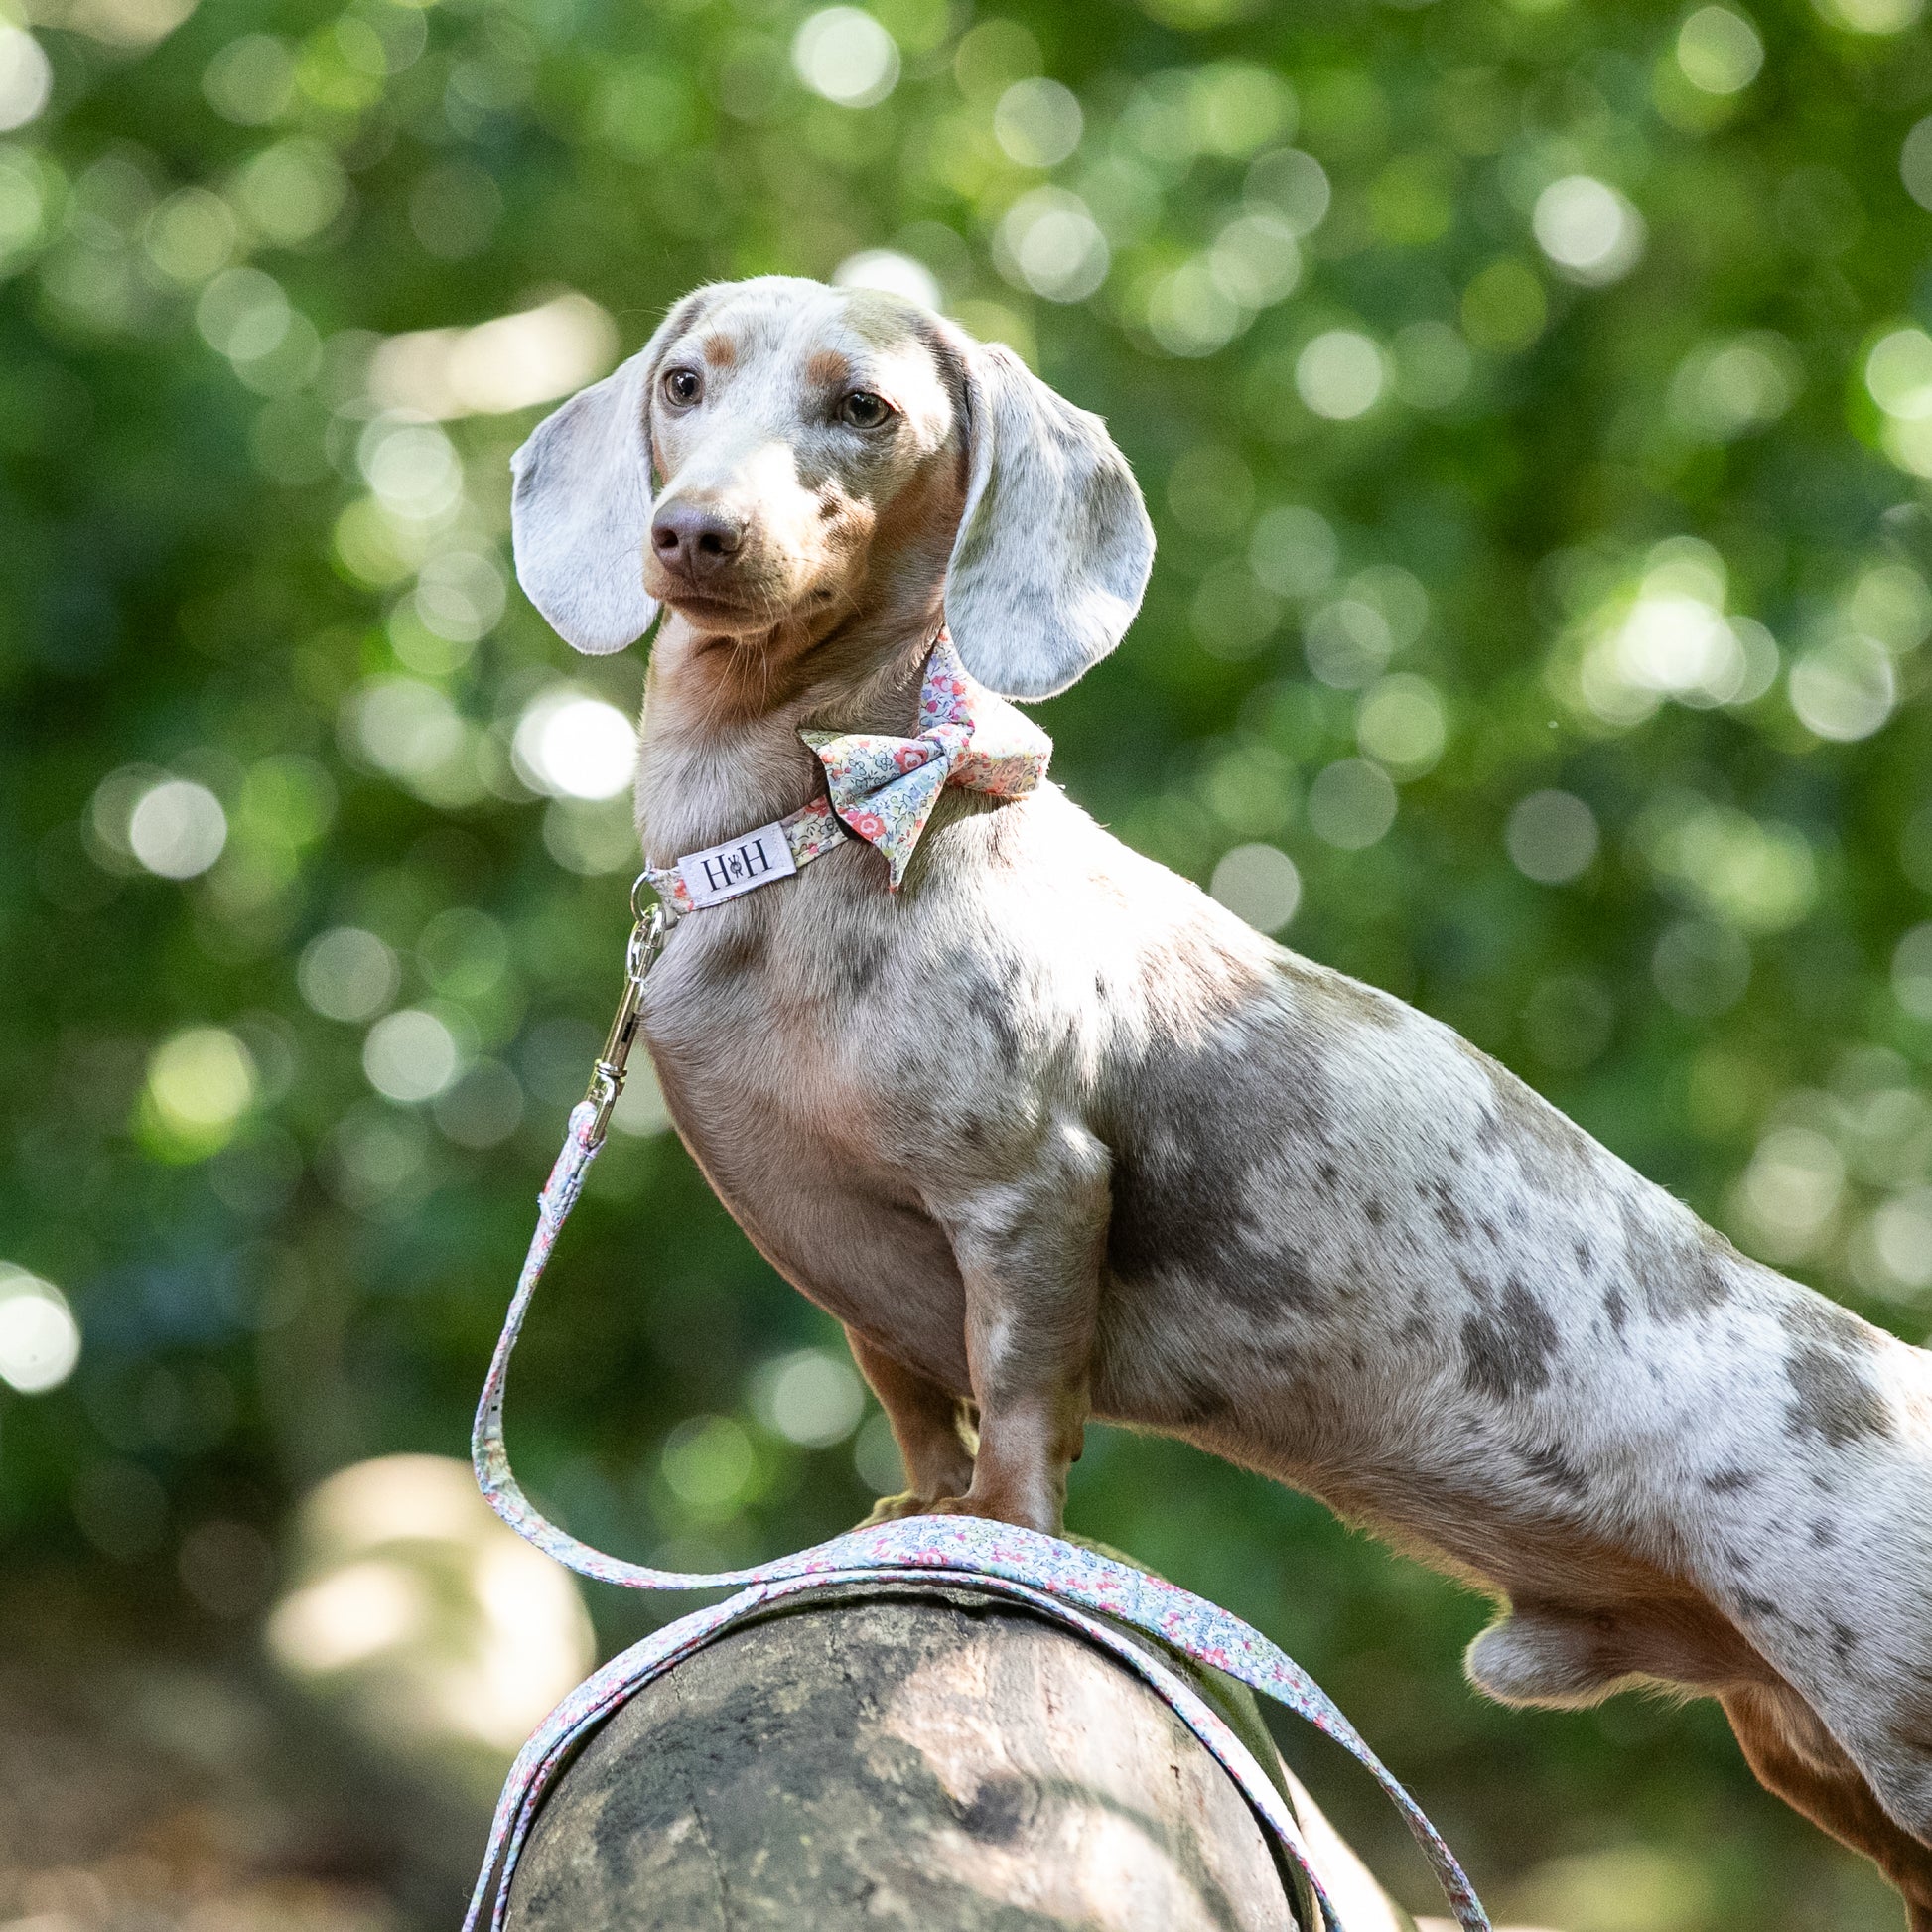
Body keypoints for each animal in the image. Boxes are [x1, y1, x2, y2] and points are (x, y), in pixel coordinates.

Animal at [505, 276, 1932, 1916]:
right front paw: (907, 1516)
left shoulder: (1027, 1185)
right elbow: (917, 1407)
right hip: (1808, 1749)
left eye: (864, 407)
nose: (694, 533)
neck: (805, 828)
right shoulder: (851, 1276)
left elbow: (1014, 1399)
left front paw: (995, 1538)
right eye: (684, 382)